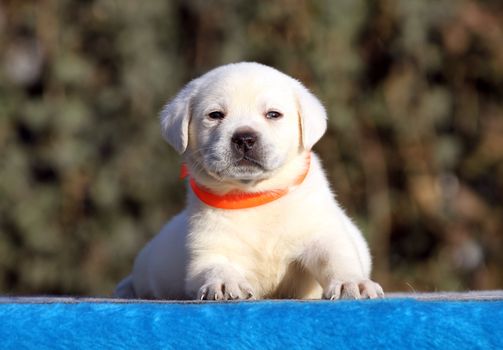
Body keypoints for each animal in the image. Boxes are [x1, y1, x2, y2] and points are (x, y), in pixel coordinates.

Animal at [114, 62, 384, 300]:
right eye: (215, 115)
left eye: (273, 114)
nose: (244, 138)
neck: (255, 196)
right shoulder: (207, 250)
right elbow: (216, 266)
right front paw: (224, 283)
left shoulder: (320, 233)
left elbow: (337, 257)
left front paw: (353, 283)